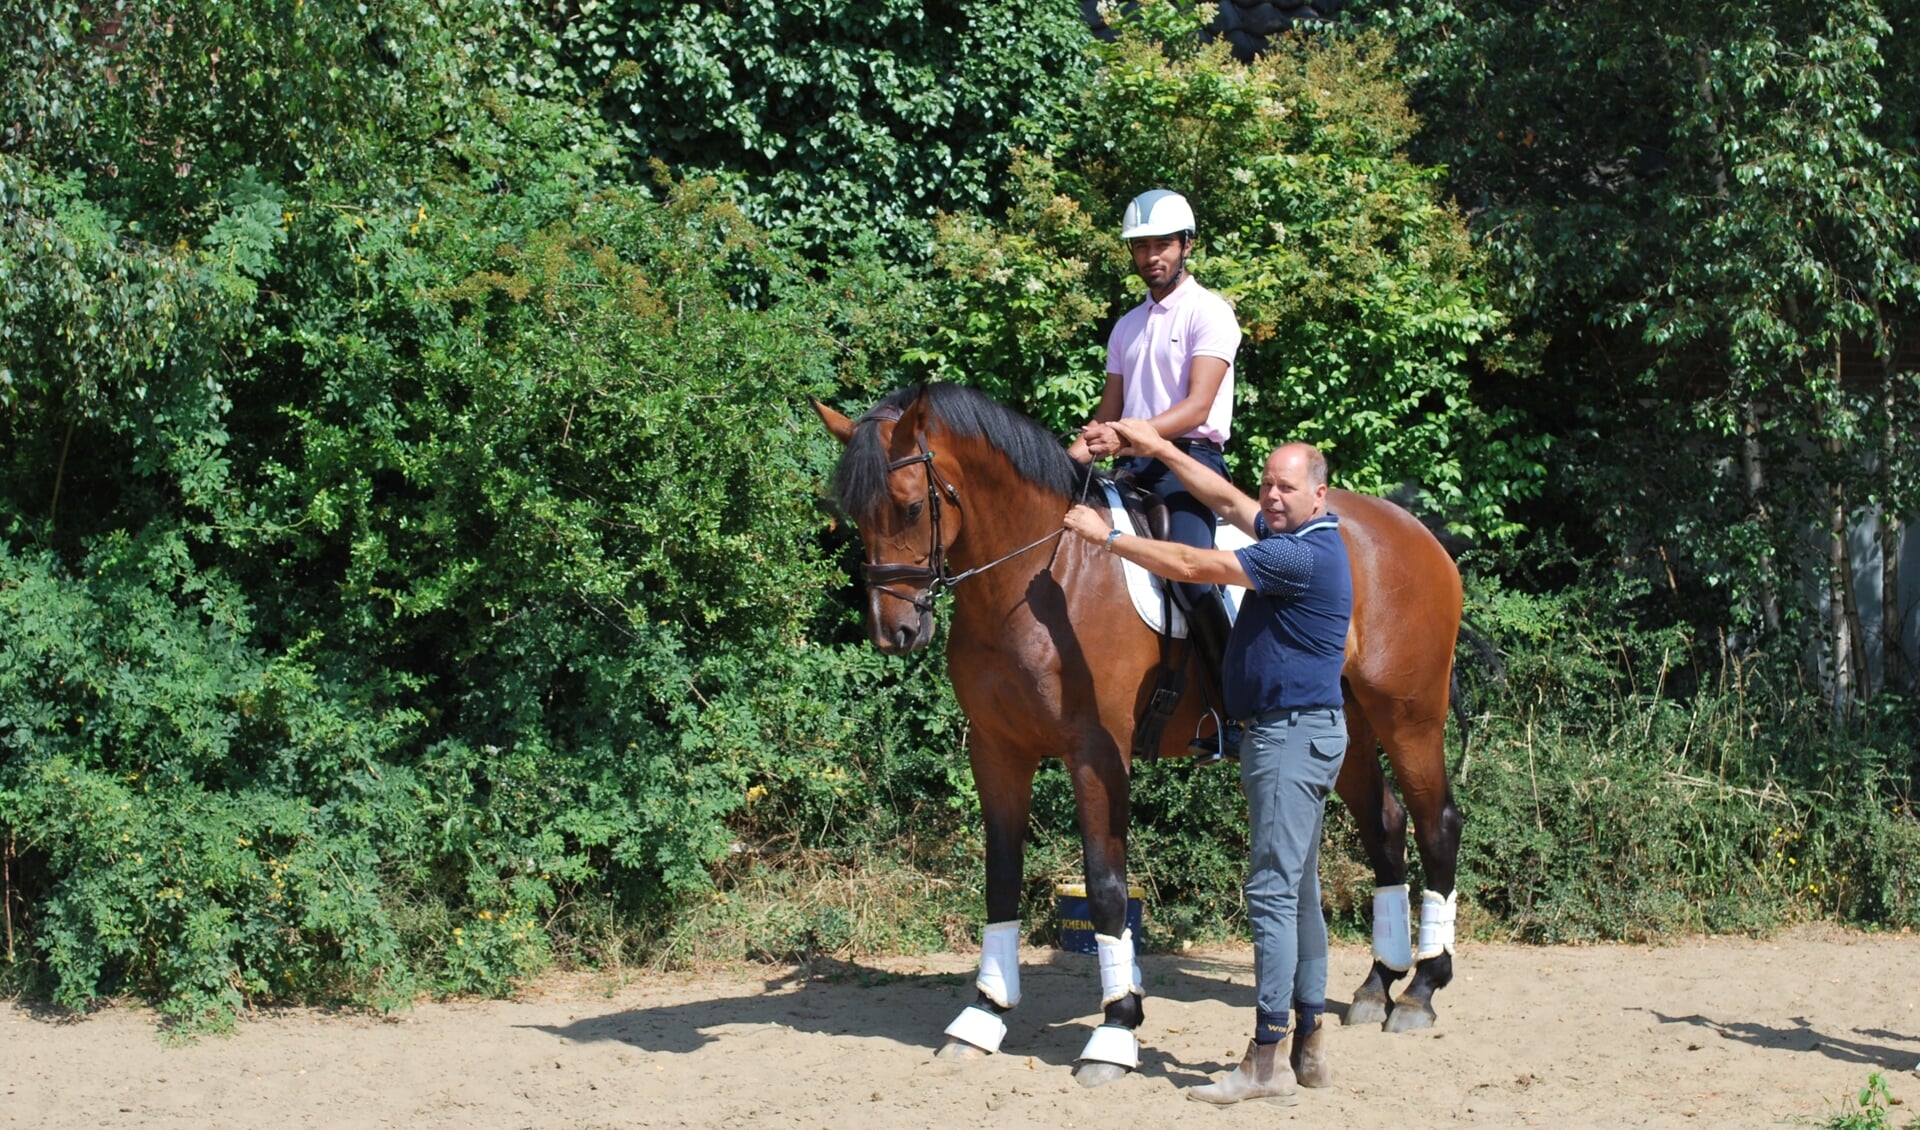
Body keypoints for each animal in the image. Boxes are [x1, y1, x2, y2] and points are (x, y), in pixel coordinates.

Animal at [814, 383, 1466, 1089]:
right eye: (855, 515)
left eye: (910, 506)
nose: (895, 632)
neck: (1038, 576)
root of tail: (1409, 527)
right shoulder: (997, 751)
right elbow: (1000, 877)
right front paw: (983, 1016)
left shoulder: (1097, 753)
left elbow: (1105, 885)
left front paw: (1115, 1031)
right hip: (1343, 722)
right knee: (1386, 825)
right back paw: (1378, 985)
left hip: (1409, 715)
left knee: (1437, 823)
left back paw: (1422, 988)